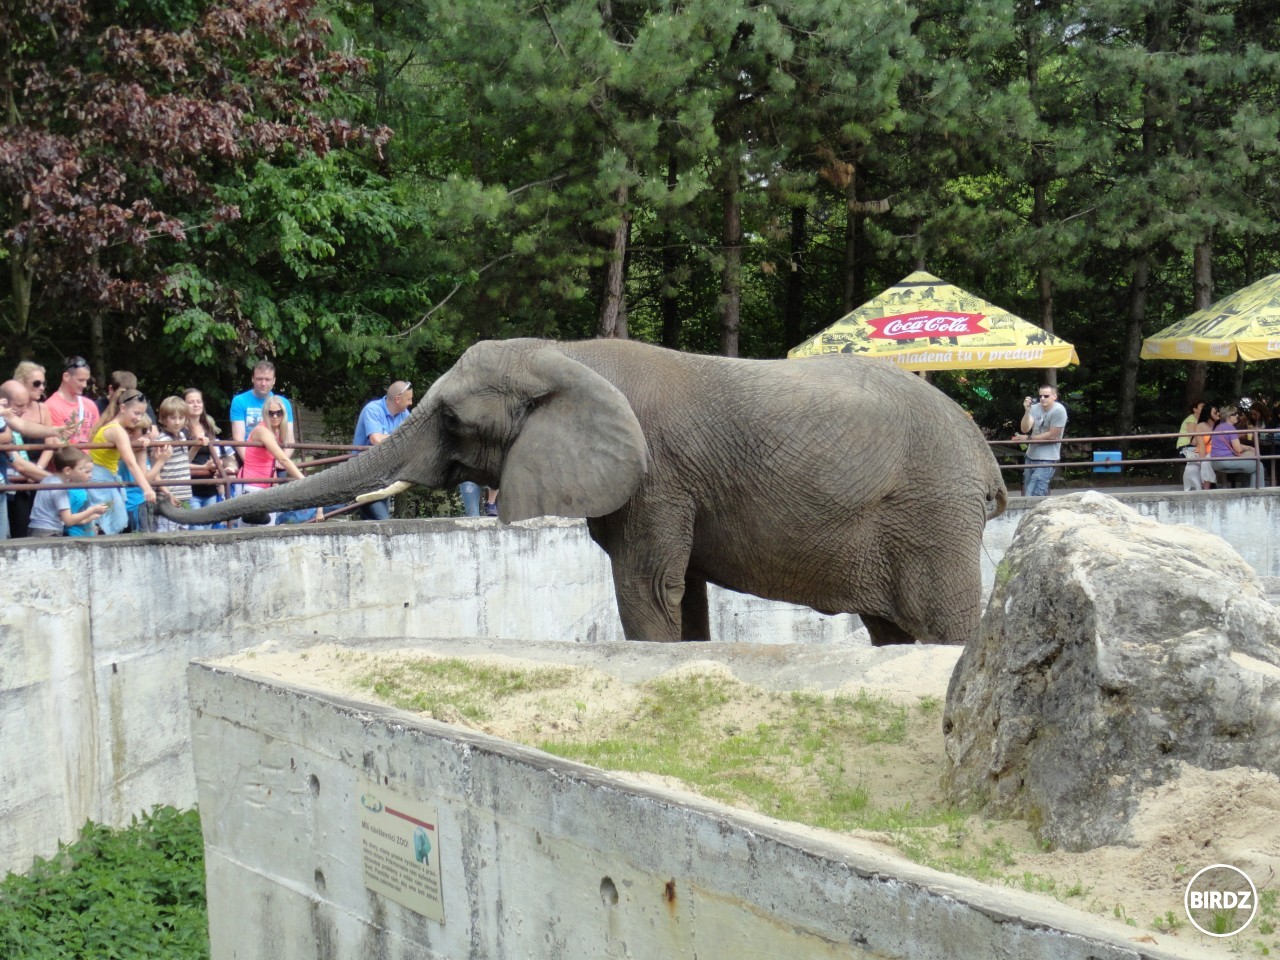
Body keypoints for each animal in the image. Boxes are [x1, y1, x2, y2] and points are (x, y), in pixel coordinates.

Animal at [162, 337, 1008, 647]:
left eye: (453, 418)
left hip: (932, 515)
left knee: (940, 628)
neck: (568, 354)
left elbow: (647, 587)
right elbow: (680, 594)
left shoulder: (657, 476)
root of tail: (986, 459)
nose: (170, 502)